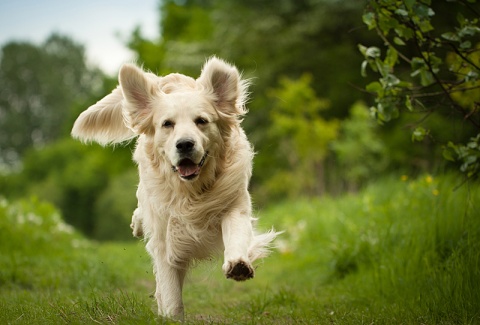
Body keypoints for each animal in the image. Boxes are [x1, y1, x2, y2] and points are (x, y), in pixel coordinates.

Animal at [72, 56, 282, 318]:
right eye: (167, 124)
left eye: (201, 121)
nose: (185, 144)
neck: (191, 193)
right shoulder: (166, 239)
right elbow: (171, 294)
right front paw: (170, 315)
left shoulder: (234, 205)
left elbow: (236, 234)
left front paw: (238, 264)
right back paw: (138, 224)